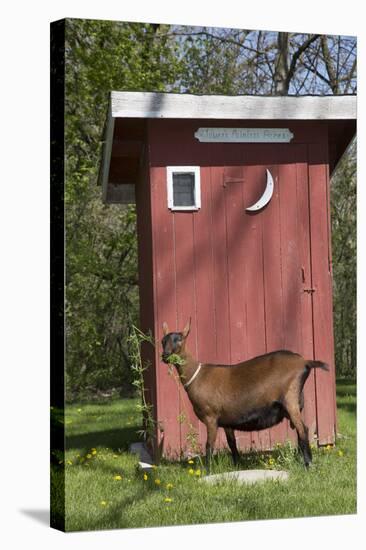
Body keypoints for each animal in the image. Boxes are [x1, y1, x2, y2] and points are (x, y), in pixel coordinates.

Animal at [162, 322, 328, 472]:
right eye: (163, 341)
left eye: (179, 339)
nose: (165, 356)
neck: (197, 376)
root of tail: (305, 362)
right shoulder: (226, 420)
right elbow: (232, 443)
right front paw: (237, 465)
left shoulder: (211, 417)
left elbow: (209, 445)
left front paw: (207, 471)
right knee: (300, 431)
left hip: (290, 399)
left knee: (303, 429)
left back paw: (308, 464)